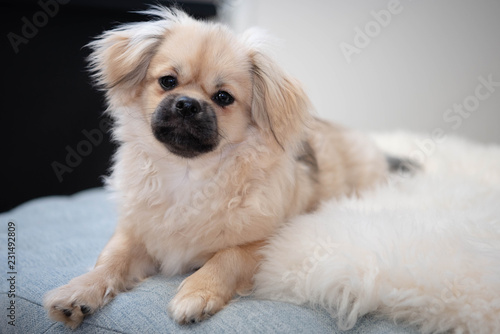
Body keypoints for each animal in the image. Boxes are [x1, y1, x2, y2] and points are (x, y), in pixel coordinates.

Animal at [43, 7, 390, 328]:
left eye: (223, 97)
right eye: (167, 82)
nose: (187, 104)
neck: (188, 174)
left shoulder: (270, 243)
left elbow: (228, 256)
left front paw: (197, 293)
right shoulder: (135, 232)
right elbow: (111, 259)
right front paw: (80, 291)